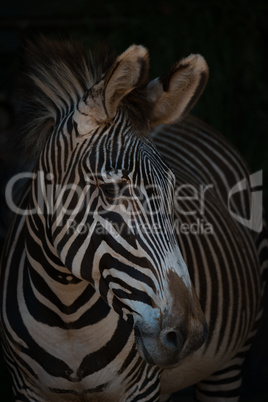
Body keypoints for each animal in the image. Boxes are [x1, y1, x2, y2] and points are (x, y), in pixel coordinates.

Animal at [0, 36, 266, 400]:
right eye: (111, 189)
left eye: (173, 190)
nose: (191, 334)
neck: (68, 316)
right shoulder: (26, 388)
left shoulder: (141, 388)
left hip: (227, 363)